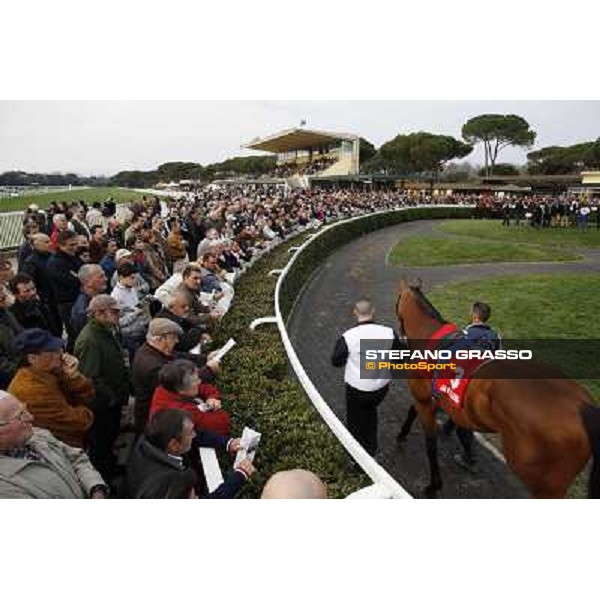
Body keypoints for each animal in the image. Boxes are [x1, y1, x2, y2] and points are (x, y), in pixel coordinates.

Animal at [394, 278, 600, 500]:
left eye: (397, 300)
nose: (401, 336)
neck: (430, 335)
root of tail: (583, 407)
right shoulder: (435, 397)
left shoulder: (423, 398)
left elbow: (430, 444)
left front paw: (433, 485)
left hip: (544, 484)